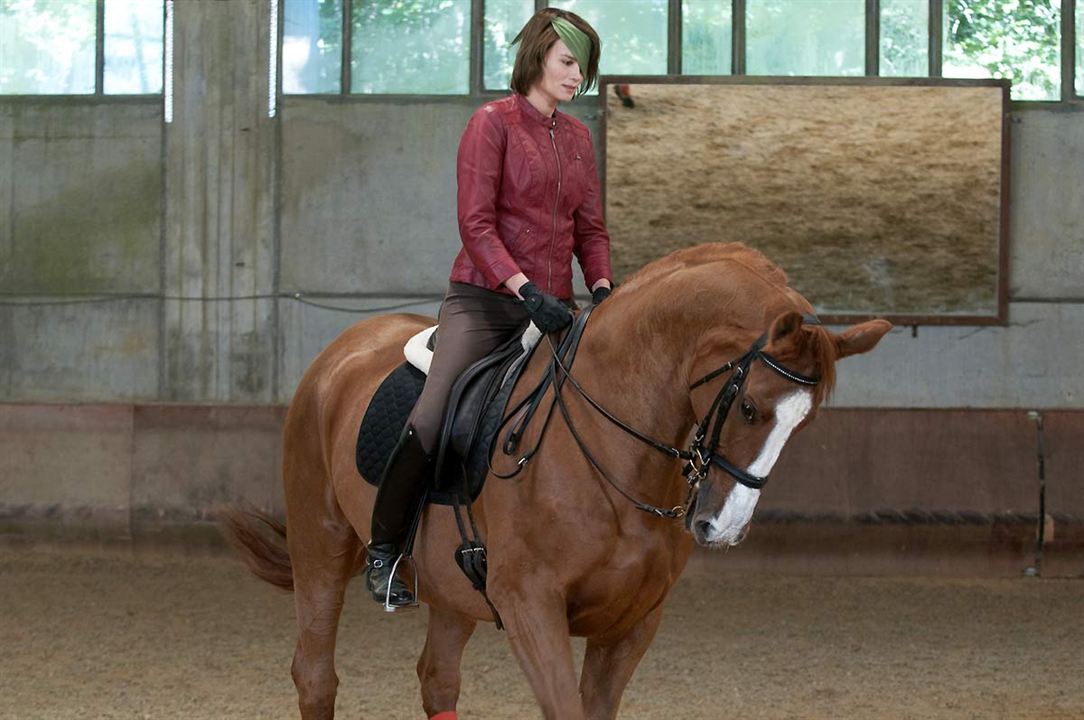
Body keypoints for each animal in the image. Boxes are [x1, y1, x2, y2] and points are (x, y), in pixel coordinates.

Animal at [226, 242, 888, 720]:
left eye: (805, 423)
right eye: (749, 407)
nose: (721, 527)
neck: (612, 454)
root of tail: (343, 349)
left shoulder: (634, 621)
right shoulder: (530, 607)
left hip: (451, 587)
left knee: (437, 680)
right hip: (319, 544)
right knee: (315, 675)